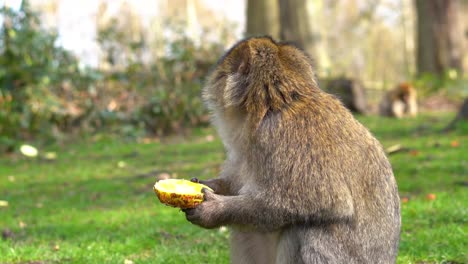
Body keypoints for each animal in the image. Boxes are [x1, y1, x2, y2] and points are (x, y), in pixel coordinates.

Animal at [185, 37, 400, 264]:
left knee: (305, 227)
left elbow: (326, 201)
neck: (276, 104)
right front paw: (208, 185)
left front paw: (214, 210)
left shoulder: (281, 136)